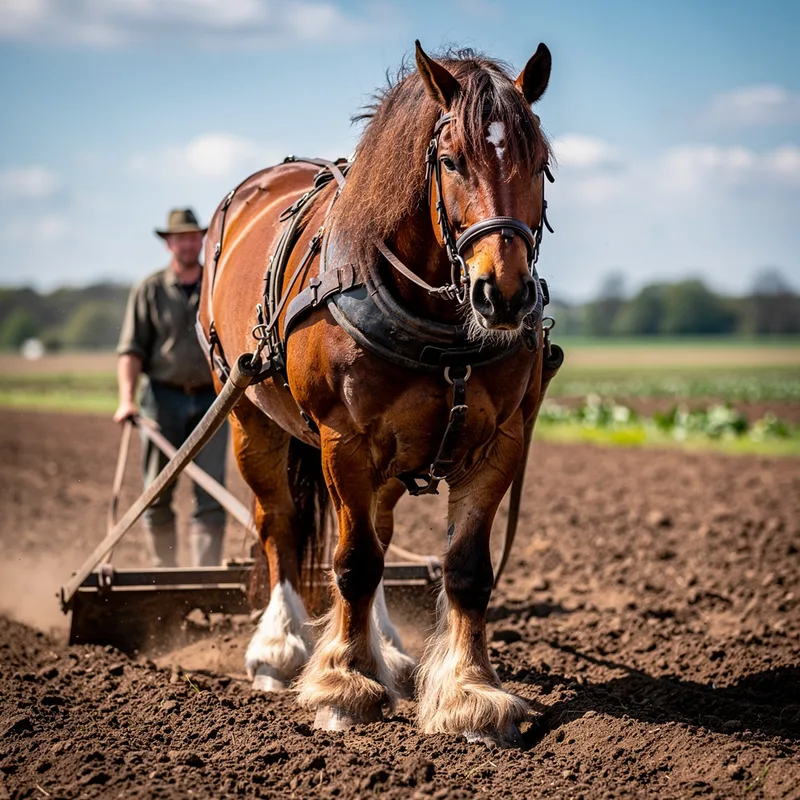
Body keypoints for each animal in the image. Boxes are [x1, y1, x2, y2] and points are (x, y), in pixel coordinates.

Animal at [198, 41, 557, 747]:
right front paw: (345, 685)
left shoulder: (500, 440)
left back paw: (388, 646)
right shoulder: (344, 436)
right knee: (281, 524)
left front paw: (471, 696)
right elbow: (353, 561)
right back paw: (280, 647)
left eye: (541, 163)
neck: (444, 328)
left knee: (378, 530)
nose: (504, 295)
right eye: (452, 160)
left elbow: (466, 570)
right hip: (252, 416)